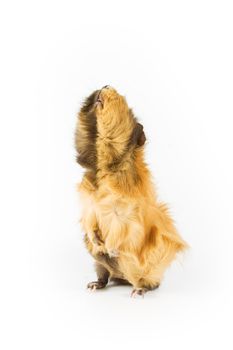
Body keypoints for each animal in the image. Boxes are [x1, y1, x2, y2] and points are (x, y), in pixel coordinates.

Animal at [75, 86, 187, 296]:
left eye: (124, 104)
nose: (106, 86)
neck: (104, 168)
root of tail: (123, 278)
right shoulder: (89, 207)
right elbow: (90, 225)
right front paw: (100, 246)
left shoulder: (123, 214)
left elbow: (117, 233)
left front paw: (110, 249)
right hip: (98, 263)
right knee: (104, 276)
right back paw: (93, 286)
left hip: (139, 270)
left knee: (147, 282)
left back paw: (137, 291)